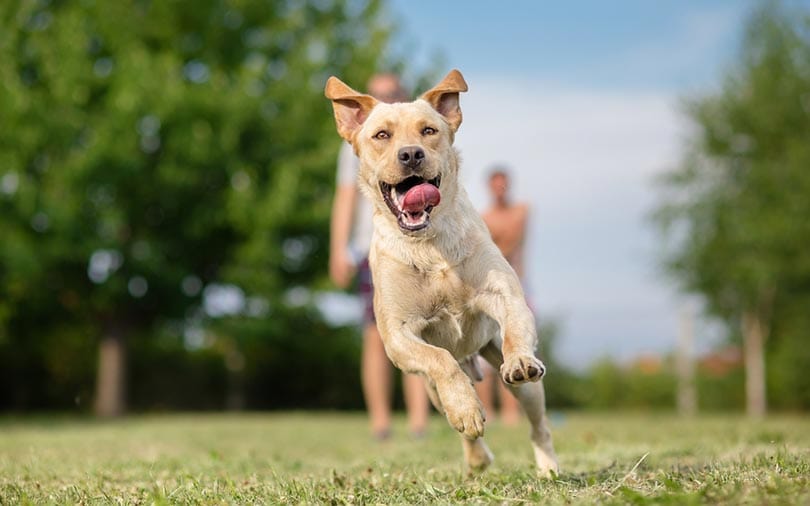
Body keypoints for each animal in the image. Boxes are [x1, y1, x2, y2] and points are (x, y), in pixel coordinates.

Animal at [324, 68, 556, 474]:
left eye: (428, 131)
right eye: (381, 135)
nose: (411, 154)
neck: (428, 245)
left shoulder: (505, 295)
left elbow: (514, 329)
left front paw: (519, 358)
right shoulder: (398, 336)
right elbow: (440, 360)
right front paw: (466, 410)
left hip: (525, 387)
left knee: (537, 424)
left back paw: (548, 467)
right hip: (430, 390)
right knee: (455, 406)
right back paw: (476, 455)